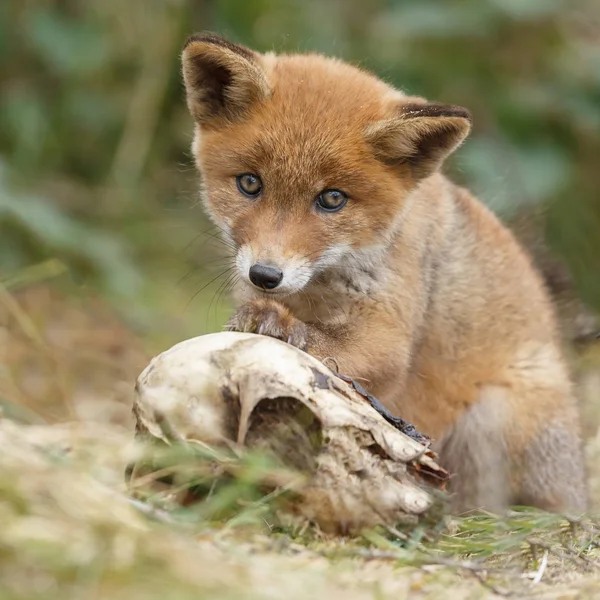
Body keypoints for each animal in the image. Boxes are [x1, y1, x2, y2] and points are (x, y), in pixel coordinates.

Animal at [180, 31, 588, 510]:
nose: (265, 275)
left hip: (492, 416)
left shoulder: (391, 334)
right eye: (249, 183)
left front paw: (281, 328)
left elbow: (326, 347)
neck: (317, 291)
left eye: (332, 199)